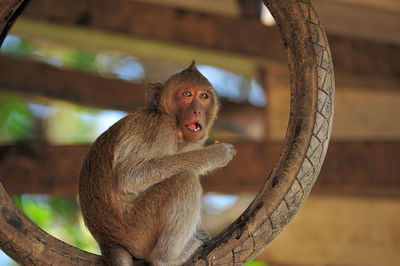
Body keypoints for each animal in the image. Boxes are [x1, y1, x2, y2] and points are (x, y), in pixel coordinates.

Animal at [78, 62, 236, 266]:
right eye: (187, 94)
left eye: (204, 96)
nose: (197, 111)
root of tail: (107, 242)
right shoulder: (160, 127)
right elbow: (130, 176)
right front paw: (218, 153)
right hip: (138, 228)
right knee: (184, 179)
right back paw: (168, 258)